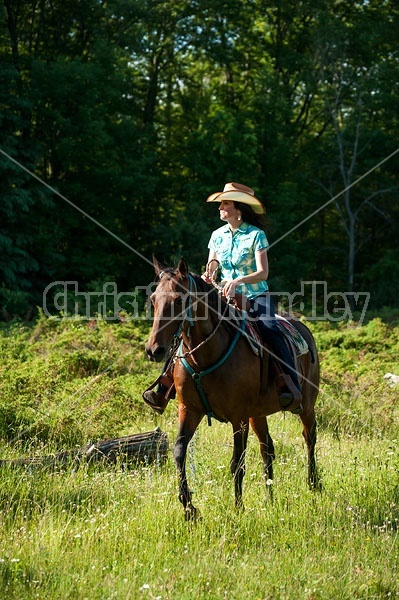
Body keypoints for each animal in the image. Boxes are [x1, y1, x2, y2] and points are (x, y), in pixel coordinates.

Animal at [145, 258, 320, 520]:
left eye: (178, 300)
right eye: (154, 299)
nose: (153, 350)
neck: (205, 357)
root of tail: (304, 329)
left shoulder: (238, 417)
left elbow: (237, 462)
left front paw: (238, 508)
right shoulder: (189, 410)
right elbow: (178, 452)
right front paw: (189, 508)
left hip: (306, 405)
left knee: (309, 437)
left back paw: (313, 485)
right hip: (258, 414)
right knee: (267, 449)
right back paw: (269, 500)